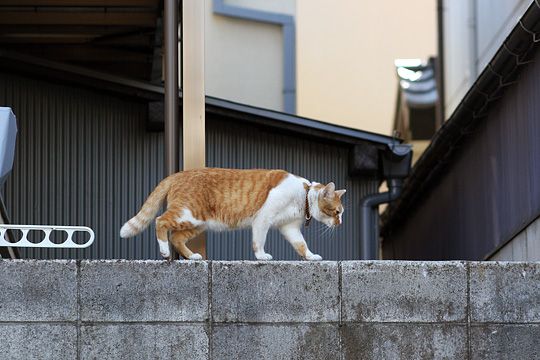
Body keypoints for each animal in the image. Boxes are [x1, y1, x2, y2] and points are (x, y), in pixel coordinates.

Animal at [118, 167, 346, 260]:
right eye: (337, 212)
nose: (341, 223)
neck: (302, 194)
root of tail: (177, 174)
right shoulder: (263, 218)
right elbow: (259, 240)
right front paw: (261, 256)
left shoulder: (288, 226)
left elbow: (301, 244)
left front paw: (310, 256)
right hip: (187, 213)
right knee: (160, 221)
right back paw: (165, 251)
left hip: (197, 223)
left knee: (177, 237)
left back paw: (192, 256)